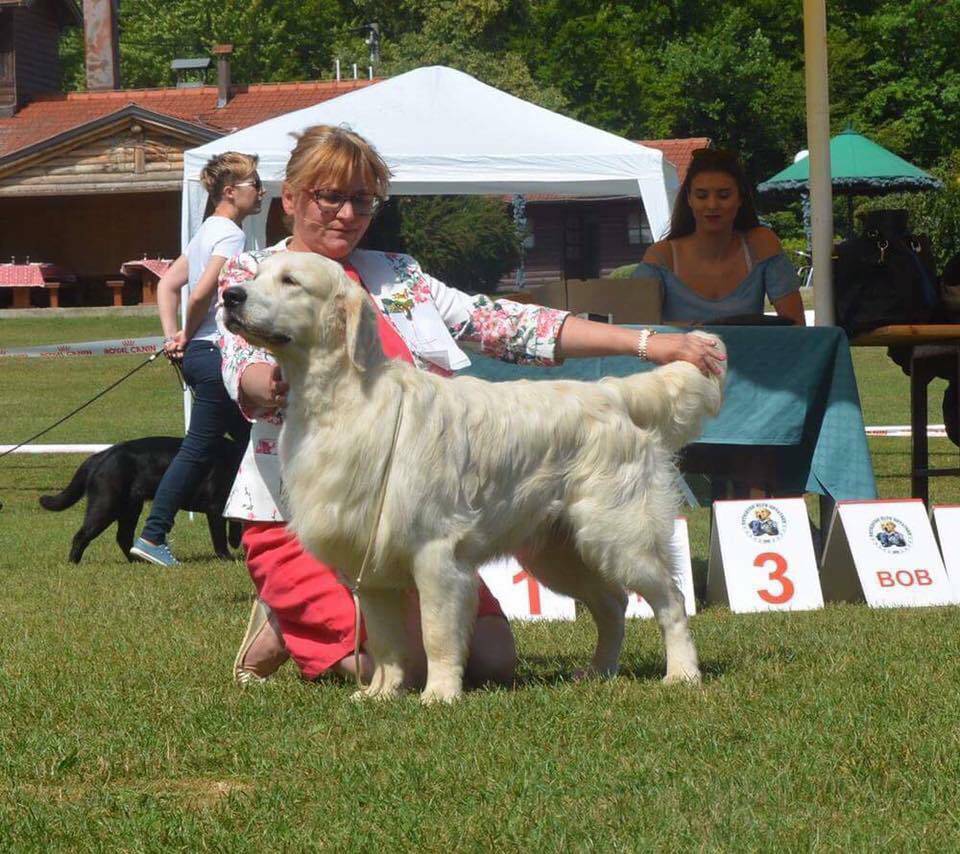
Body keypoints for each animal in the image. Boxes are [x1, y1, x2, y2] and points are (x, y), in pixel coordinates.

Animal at [40, 438, 244, 564]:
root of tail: (102, 455)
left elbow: (235, 524)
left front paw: (235, 541)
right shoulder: (215, 507)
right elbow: (219, 536)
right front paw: (227, 557)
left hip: (130, 508)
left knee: (123, 537)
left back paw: (138, 561)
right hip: (105, 506)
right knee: (81, 536)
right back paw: (73, 563)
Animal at [221, 251, 724, 704]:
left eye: (290, 280)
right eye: (255, 274)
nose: (229, 295)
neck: (343, 398)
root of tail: (612, 392)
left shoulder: (435, 554)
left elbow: (436, 634)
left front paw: (439, 694)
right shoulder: (373, 566)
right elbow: (385, 643)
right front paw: (381, 694)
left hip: (619, 534)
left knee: (670, 601)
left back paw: (682, 674)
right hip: (557, 552)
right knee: (613, 604)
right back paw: (600, 670)